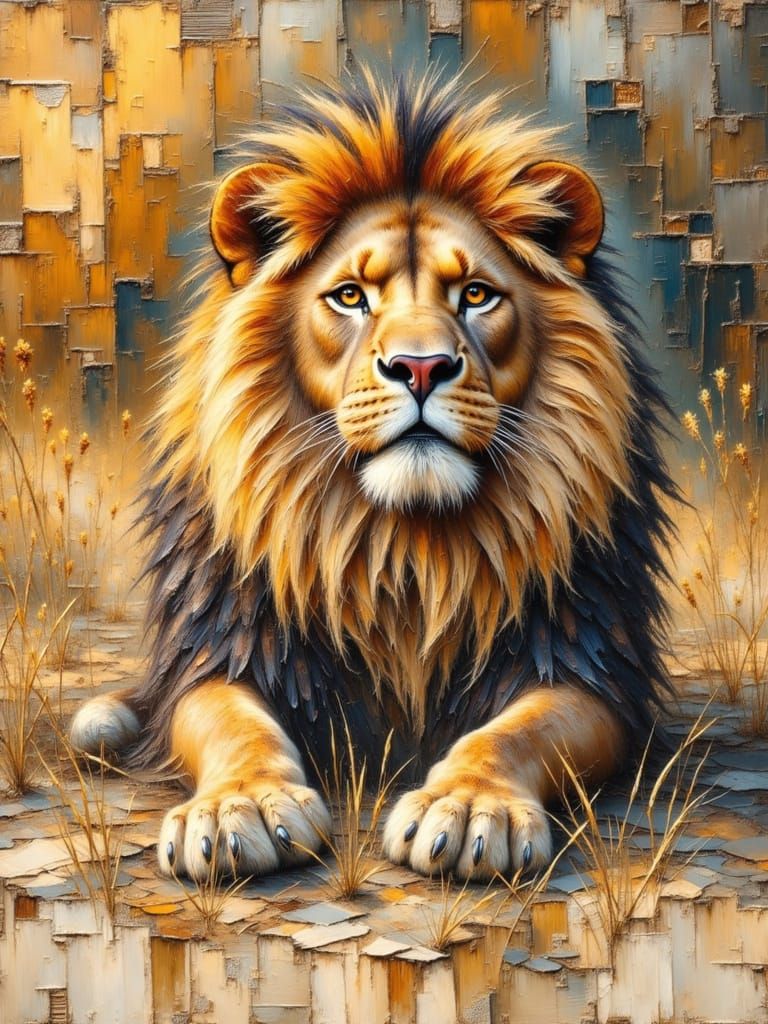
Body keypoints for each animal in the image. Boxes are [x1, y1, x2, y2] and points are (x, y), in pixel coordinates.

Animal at [70, 72, 673, 882]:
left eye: (475, 294)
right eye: (351, 296)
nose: (420, 366)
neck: (404, 548)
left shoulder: (587, 661)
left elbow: (517, 731)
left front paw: (470, 808)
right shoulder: (226, 646)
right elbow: (231, 723)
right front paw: (240, 807)